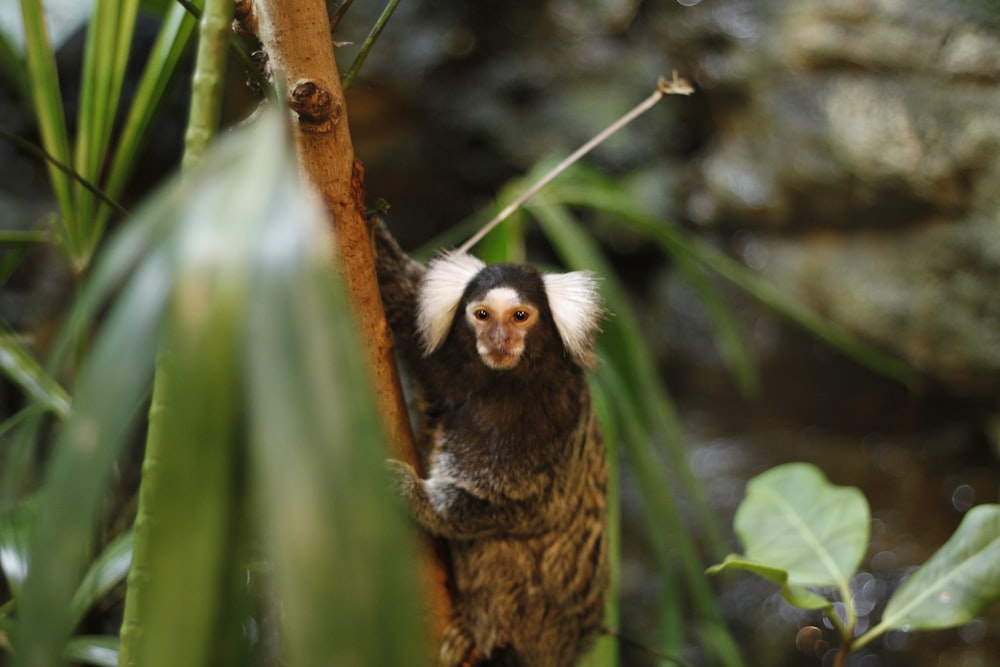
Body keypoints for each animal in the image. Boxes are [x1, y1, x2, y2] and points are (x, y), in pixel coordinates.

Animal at [376, 224, 608, 667]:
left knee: (501, 546)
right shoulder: (443, 359)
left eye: (520, 316)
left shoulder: (557, 416)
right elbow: (397, 290)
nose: (498, 339)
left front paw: (412, 495)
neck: (501, 384)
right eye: (482, 314)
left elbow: (522, 504)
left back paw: (478, 632)